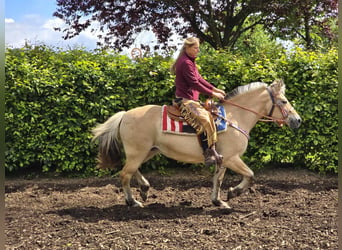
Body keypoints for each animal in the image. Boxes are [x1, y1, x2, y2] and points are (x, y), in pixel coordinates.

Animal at [91, 80, 302, 209]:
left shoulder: (223, 159)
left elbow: (218, 179)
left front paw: (218, 201)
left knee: (131, 170)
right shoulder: (232, 158)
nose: (298, 120)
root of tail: (125, 114)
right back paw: (133, 201)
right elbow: (250, 175)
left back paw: (144, 188)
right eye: (284, 101)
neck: (235, 117)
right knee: (125, 174)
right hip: (138, 152)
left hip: (148, 151)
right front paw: (233, 193)